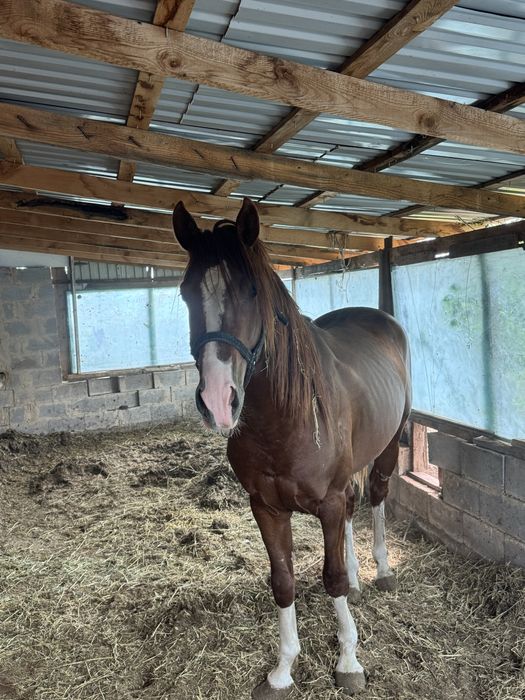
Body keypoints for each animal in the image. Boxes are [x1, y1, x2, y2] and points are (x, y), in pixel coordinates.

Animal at [173, 198, 411, 698]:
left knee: (377, 498)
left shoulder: (328, 503)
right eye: (184, 293)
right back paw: (361, 578)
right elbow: (283, 582)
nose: (218, 401)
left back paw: (380, 572)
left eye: (251, 292)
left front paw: (347, 660)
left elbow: (330, 577)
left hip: (387, 448)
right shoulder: (266, 507)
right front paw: (283, 669)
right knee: (356, 509)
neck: (283, 421)